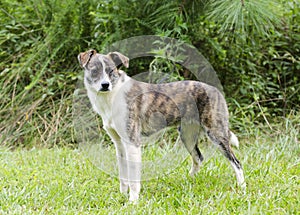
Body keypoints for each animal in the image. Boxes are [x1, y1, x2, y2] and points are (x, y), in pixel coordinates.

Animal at [78, 50, 245, 202]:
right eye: (94, 71)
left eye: (111, 71)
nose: (105, 85)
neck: (112, 96)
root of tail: (216, 90)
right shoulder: (119, 145)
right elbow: (123, 176)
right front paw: (122, 195)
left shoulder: (132, 143)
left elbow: (133, 179)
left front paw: (133, 202)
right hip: (187, 136)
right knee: (198, 158)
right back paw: (190, 182)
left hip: (216, 134)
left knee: (236, 163)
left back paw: (242, 189)